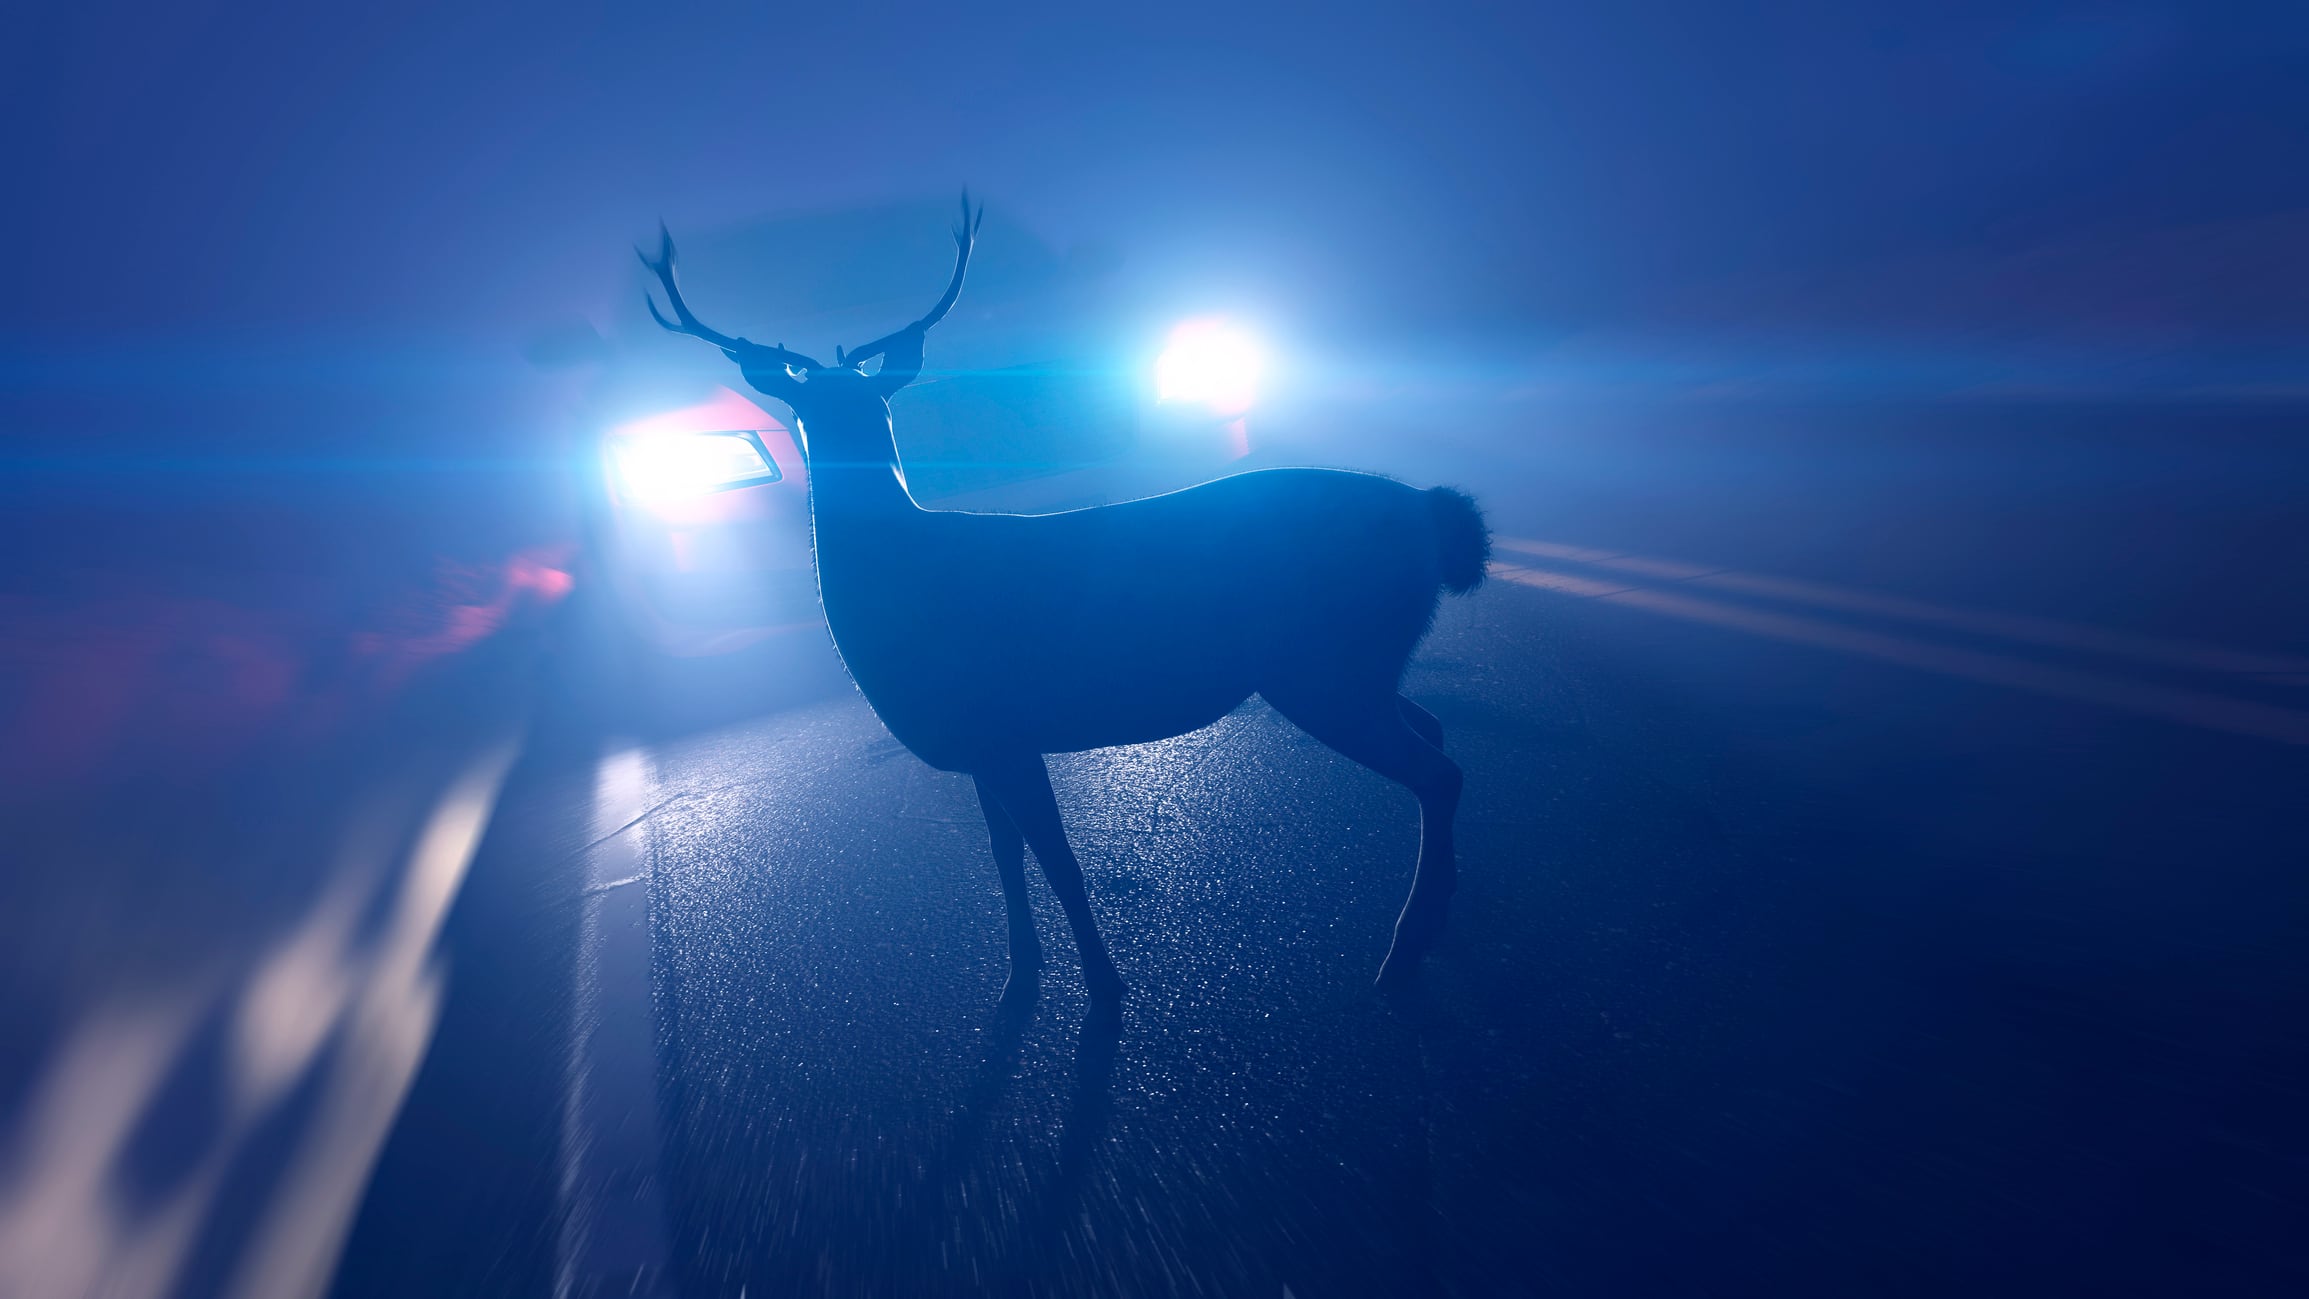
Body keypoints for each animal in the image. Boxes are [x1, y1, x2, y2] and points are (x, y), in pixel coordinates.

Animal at [641, 198, 1486, 1005]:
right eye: (806, 407)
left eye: (869, 401)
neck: (901, 584)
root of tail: (1431, 513)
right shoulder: (981, 742)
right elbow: (1003, 859)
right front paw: (1018, 980)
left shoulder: (1003, 727)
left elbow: (1059, 862)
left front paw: (1105, 987)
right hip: (1354, 661)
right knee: (1435, 731)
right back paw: (1439, 917)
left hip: (1322, 662)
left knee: (1437, 771)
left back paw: (1400, 952)